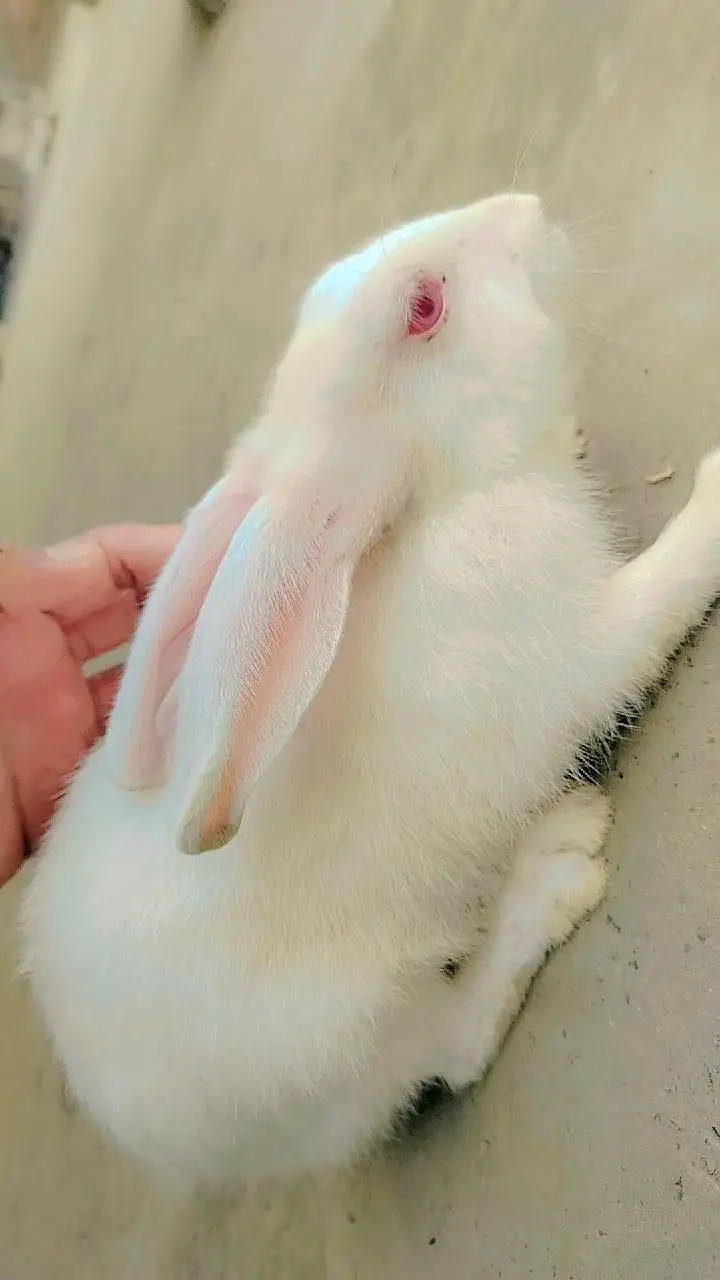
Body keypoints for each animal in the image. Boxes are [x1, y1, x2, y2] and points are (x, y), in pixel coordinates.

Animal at [19, 192, 720, 1186]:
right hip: (353, 1034)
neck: (440, 506)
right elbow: (661, 596)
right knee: (448, 1050)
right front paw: (719, 501)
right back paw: (554, 867)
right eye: (425, 309)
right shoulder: (584, 651)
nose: (528, 207)